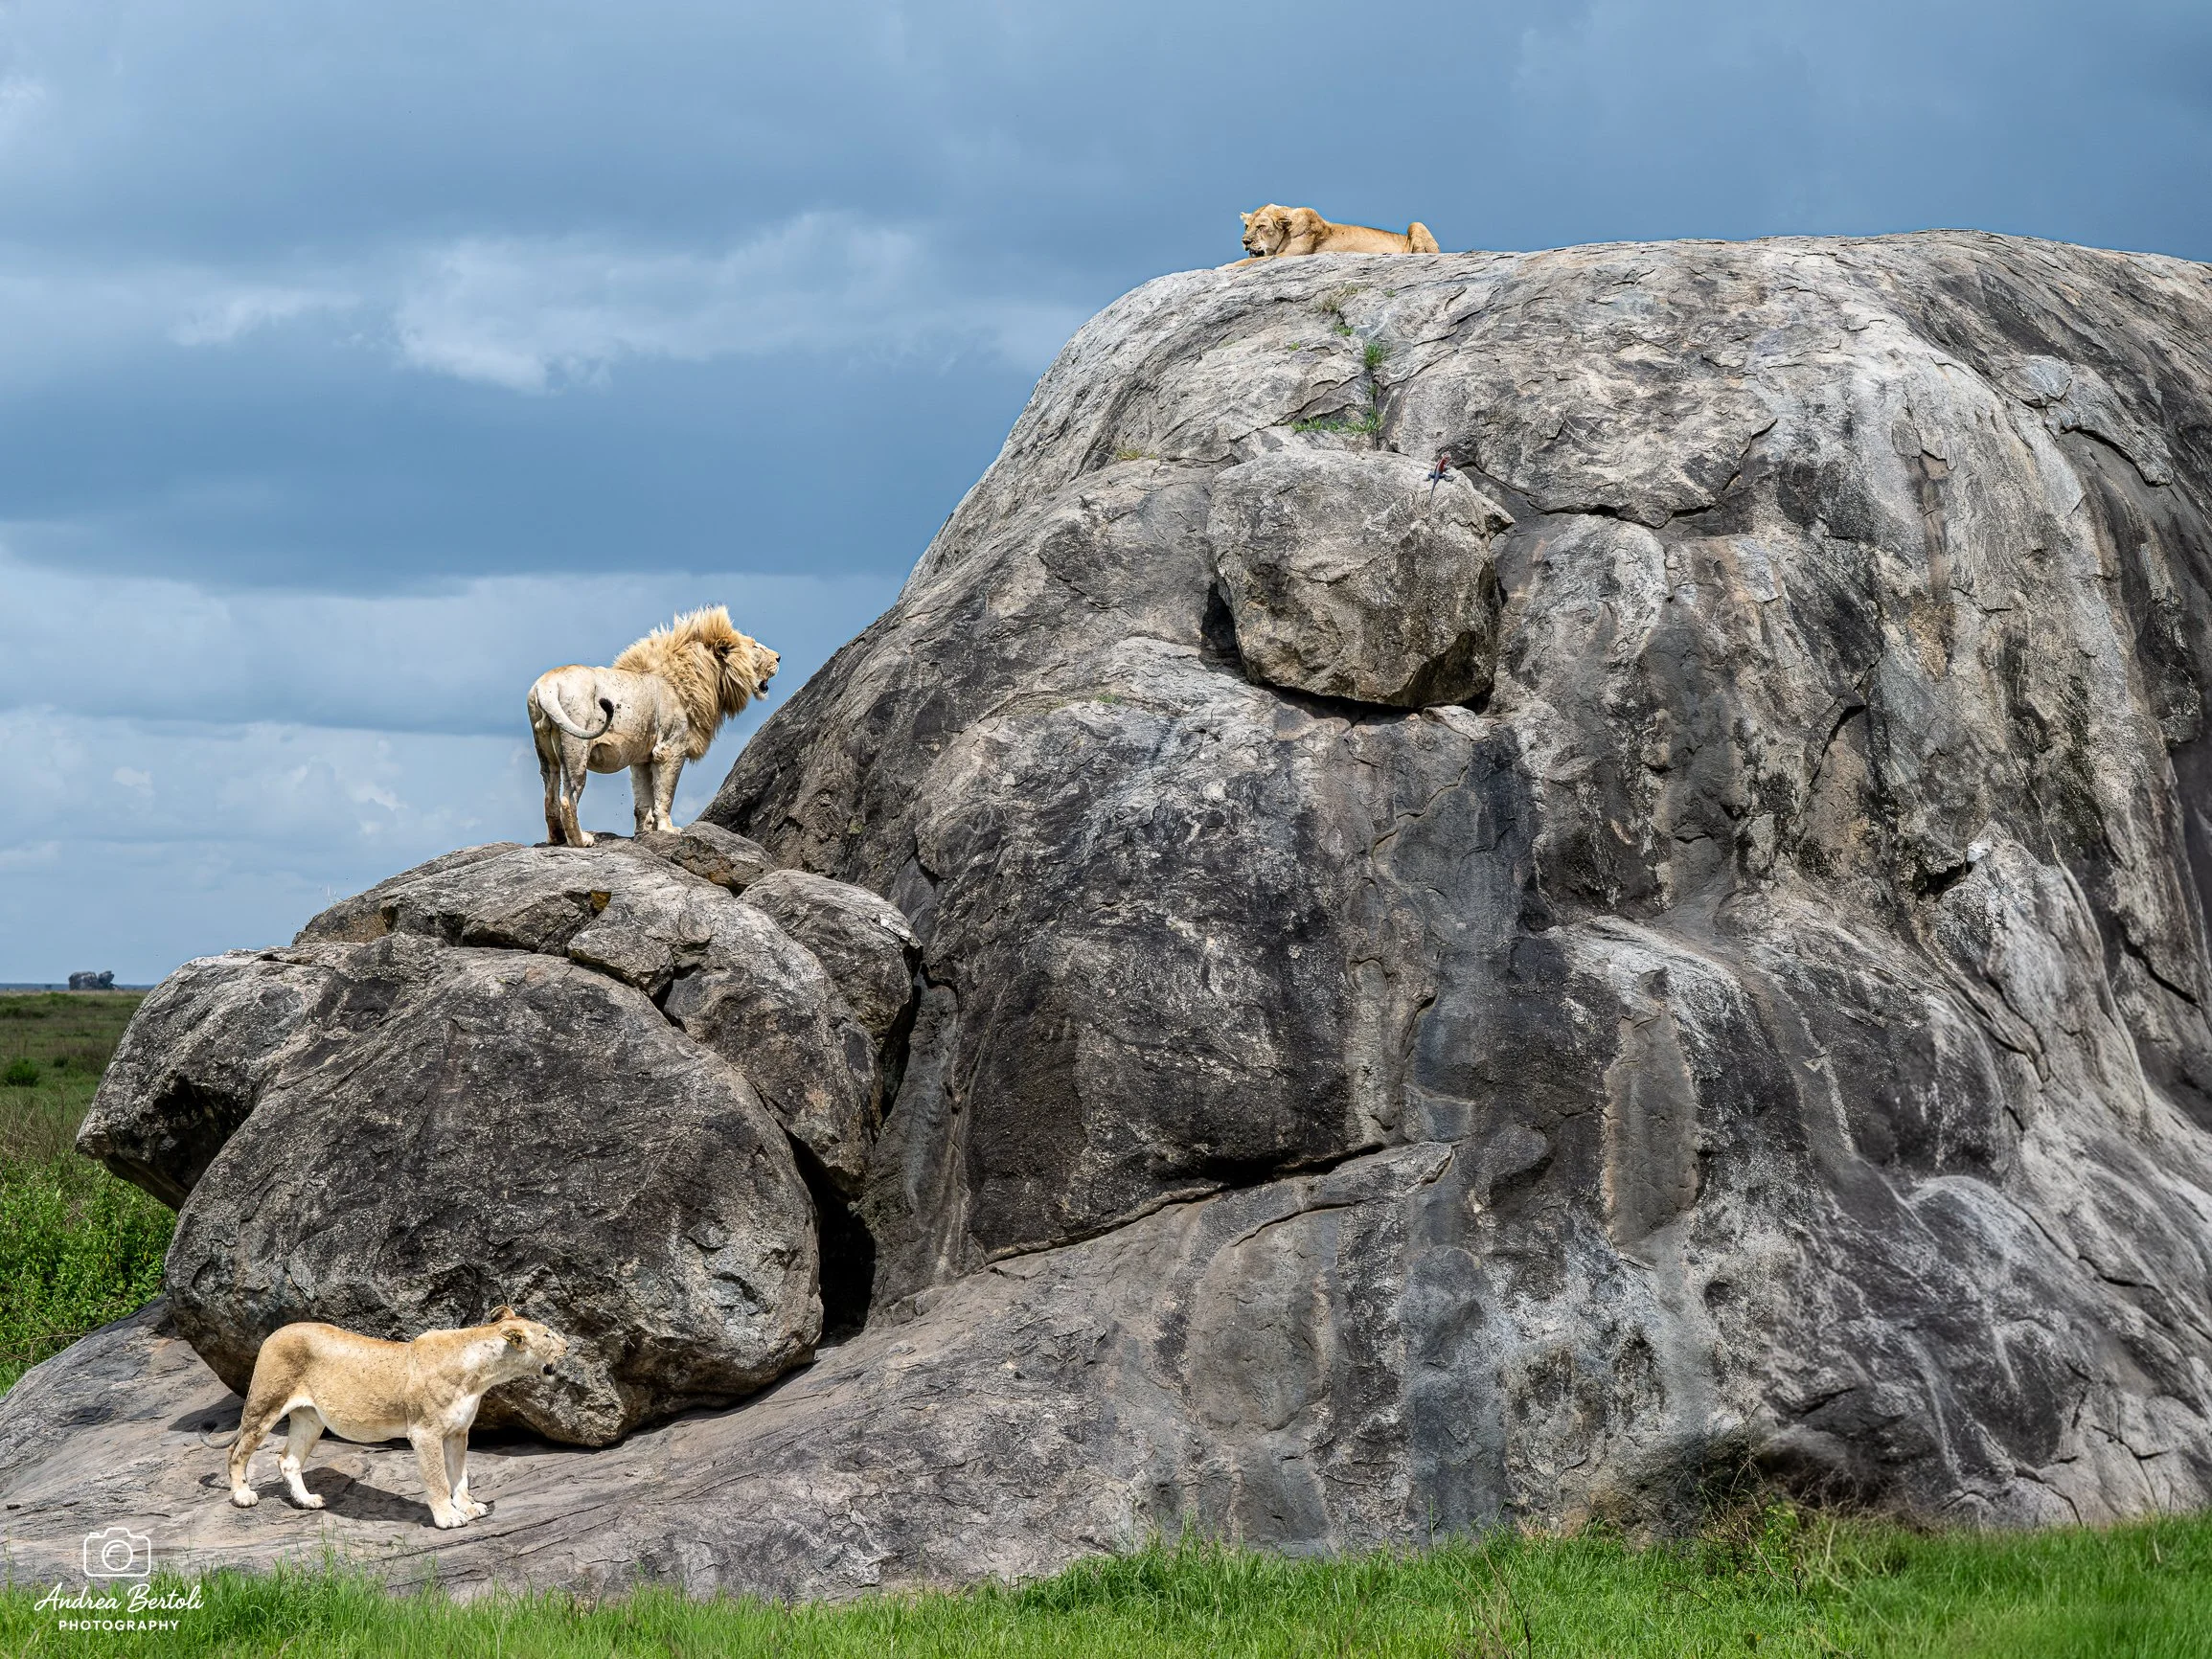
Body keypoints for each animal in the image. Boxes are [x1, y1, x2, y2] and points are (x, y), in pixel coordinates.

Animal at [206, 1308, 567, 1529]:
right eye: (548, 1335)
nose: (567, 1345)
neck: (481, 1373)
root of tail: (274, 1333)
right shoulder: (425, 1432)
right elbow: (438, 1478)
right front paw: (448, 1518)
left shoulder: (458, 1433)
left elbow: (460, 1476)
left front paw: (468, 1507)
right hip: (265, 1405)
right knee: (237, 1451)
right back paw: (242, 1496)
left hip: (310, 1419)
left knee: (288, 1460)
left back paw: (307, 1501)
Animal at [527, 605, 779, 847]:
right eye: (755, 646)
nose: (778, 657)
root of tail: (547, 684)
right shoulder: (670, 749)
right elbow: (665, 794)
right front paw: (668, 829)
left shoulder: (642, 758)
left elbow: (643, 800)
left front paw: (644, 832)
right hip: (577, 747)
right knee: (567, 798)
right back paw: (581, 840)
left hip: (546, 752)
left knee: (550, 795)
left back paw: (557, 838)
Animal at [1232, 204, 1442, 264]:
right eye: (1246, 226)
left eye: (1261, 226)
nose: (1245, 241)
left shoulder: (1290, 256)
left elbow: (1246, 262)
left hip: (1416, 224)